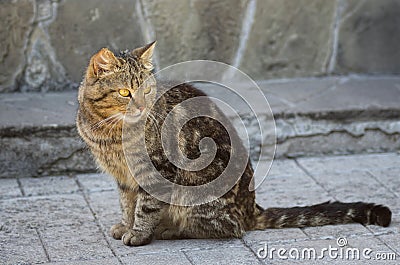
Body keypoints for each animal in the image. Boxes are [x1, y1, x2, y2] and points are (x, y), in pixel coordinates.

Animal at [76, 41, 392, 245]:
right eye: (125, 93)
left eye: (148, 90)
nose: (143, 106)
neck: (108, 131)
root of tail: (251, 208)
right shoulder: (123, 177)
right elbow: (127, 204)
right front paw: (126, 224)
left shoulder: (156, 169)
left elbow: (145, 206)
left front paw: (139, 233)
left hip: (195, 193)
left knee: (229, 228)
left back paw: (170, 230)